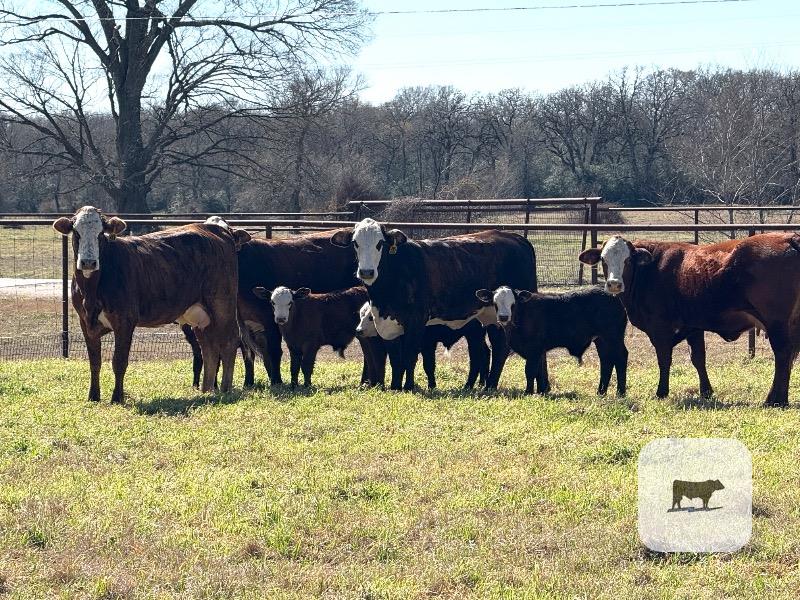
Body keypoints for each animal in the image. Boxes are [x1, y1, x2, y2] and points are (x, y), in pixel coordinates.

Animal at [52, 206, 249, 403]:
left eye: (101, 234)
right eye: (76, 232)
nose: (88, 262)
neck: (92, 290)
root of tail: (217, 230)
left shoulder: (125, 321)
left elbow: (119, 361)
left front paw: (117, 397)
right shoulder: (85, 322)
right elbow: (95, 361)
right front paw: (93, 396)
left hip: (222, 307)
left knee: (230, 342)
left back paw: (225, 388)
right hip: (200, 316)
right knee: (209, 348)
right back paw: (207, 389)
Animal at [355, 301, 490, 389]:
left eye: (371, 317)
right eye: (361, 315)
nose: (358, 330)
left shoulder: (427, 344)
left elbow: (427, 365)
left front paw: (430, 385)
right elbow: (403, 364)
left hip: (474, 336)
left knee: (476, 358)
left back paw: (469, 384)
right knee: (486, 353)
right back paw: (482, 382)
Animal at [476, 286, 628, 395]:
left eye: (513, 303)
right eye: (495, 303)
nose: (503, 317)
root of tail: (613, 296)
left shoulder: (535, 349)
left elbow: (530, 371)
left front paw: (528, 392)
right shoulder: (537, 351)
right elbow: (539, 371)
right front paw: (540, 391)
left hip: (613, 337)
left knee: (621, 358)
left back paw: (620, 393)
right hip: (602, 340)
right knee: (607, 361)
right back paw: (601, 392)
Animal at [579, 233, 800, 406]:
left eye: (627, 260)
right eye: (604, 260)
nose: (614, 284)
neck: (650, 270)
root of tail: (789, 238)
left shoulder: (660, 327)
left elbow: (664, 359)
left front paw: (661, 392)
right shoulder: (693, 326)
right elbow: (698, 359)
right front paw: (706, 391)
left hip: (776, 323)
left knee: (783, 354)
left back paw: (775, 399)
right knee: (789, 356)